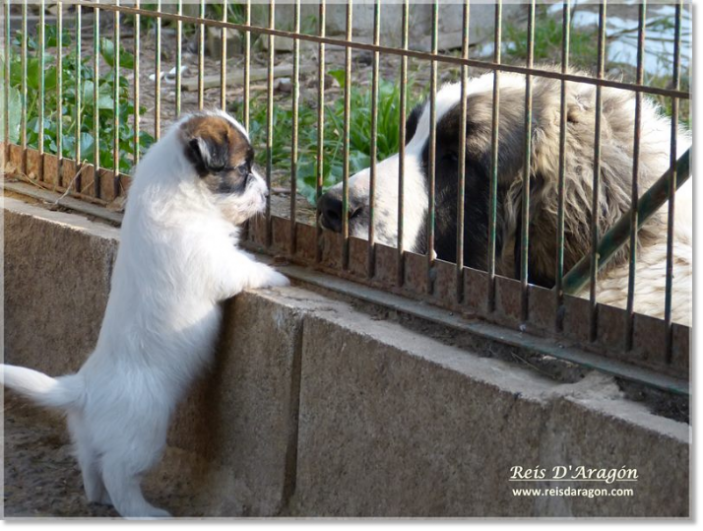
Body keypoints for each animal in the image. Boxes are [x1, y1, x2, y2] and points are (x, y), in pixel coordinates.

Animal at [0, 109, 288, 520]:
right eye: (243, 169)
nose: (266, 194)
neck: (180, 190)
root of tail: (82, 390)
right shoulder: (218, 264)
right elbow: (246, 267)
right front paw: (278, 275)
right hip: (143, 437)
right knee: (119, 474)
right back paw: (146, 513)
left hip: (88, 439)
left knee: (91, 467)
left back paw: (99, 498)